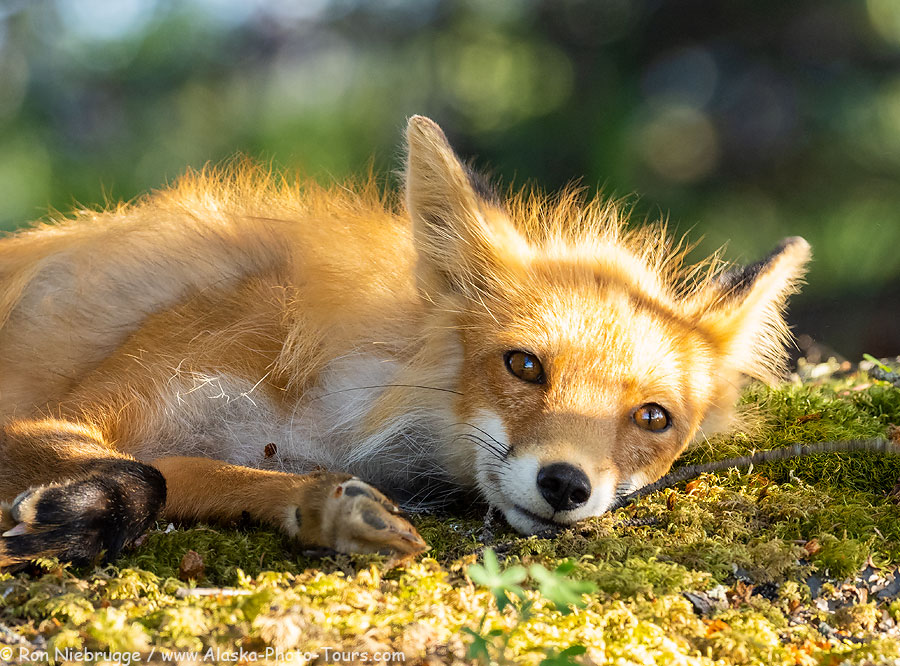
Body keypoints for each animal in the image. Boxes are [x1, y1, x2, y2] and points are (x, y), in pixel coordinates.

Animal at [0, 116, 810, 567]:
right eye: (524, 365)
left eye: (653, 418)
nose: (566, 485)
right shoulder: (56, 414)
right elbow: (147, 475)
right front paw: (82, 518)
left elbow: (193, 475)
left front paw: (330, 511)